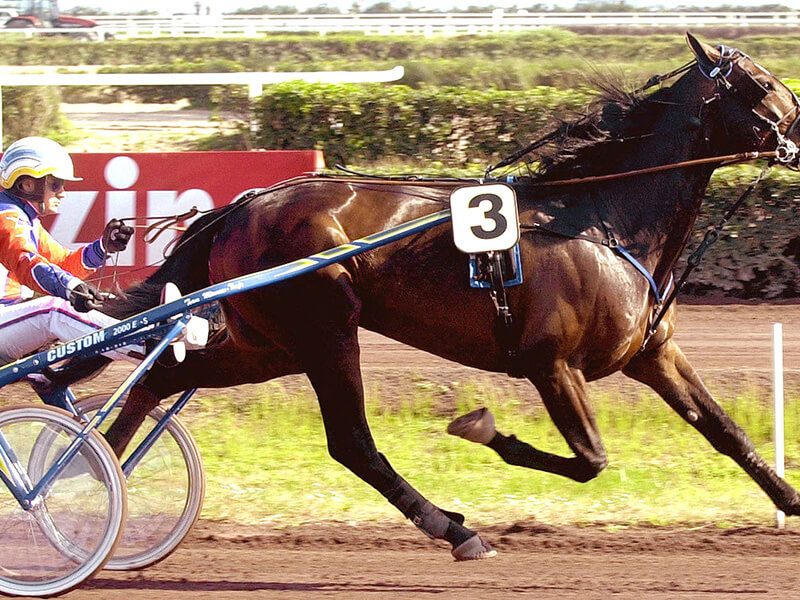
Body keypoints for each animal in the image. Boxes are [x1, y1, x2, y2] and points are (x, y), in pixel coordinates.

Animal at [100, 35, 800, 560]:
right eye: (761, 84)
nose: (799, 128)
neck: (604, 219)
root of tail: (240, 206)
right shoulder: (550, 363)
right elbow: (590, 460)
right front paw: (482, 429)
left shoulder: (653, 355)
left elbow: (728, 432)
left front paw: (790, 501)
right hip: (324, 330)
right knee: (351, 442)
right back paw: (454, 529)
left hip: (268, 344)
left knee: (159, 378)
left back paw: (83, 485)